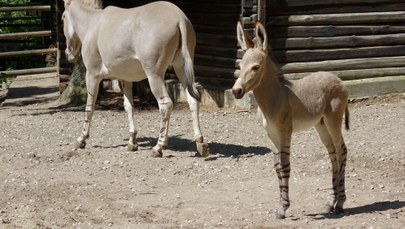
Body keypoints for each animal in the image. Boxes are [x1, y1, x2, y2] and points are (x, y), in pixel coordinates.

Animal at [232, 21, 348, 220]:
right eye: (240, 65)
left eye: (255, 67)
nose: (236, 91)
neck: (274, 97)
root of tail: (339, 80)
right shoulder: (271, 134)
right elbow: (278, 168)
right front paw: (280, 205)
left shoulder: (285, 132)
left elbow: (285, 167)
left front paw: (283, 208)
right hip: (321, 125)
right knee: (333, 154)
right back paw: (331, 202)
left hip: (333, 121)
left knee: (342, 151)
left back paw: (340, 203)